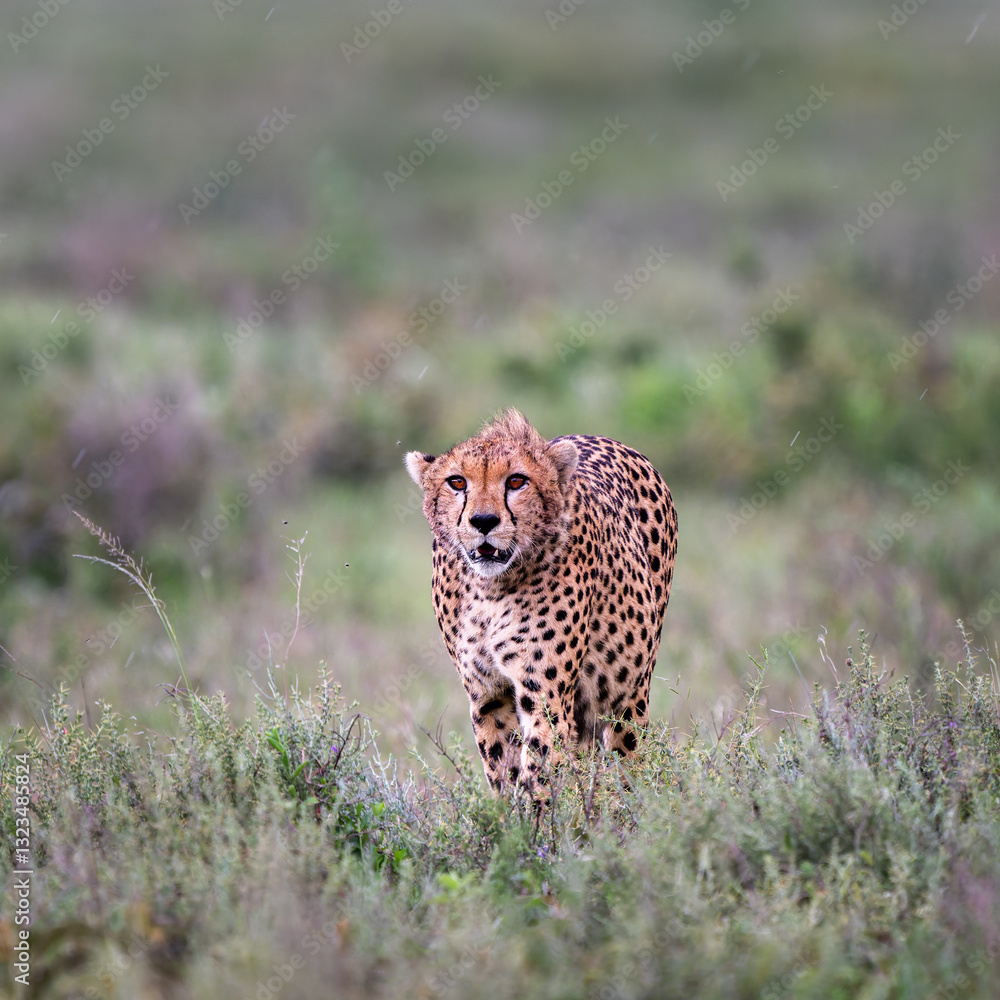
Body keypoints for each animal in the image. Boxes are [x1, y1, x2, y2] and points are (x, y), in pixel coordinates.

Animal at [404, 408, 677, 801]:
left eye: (517, 481)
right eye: (456, 482)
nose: (483, 521)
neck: (490, 587)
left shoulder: (544, 692)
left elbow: (540, 765)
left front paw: (539, 814)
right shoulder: (487, 693)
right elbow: (503, 767)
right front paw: (509, 816)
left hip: (628, 690)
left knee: (627, 757)